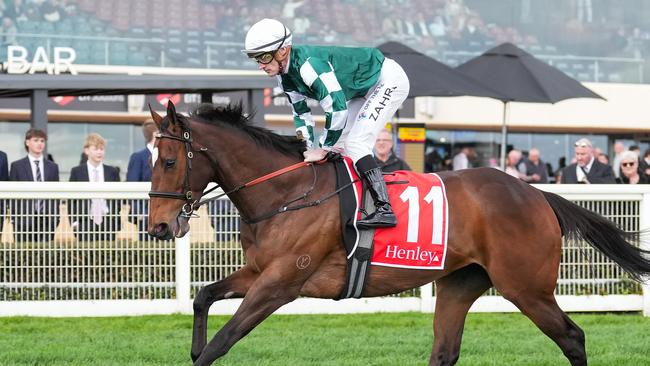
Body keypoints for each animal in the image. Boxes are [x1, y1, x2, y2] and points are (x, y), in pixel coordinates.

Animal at [147, 101, 648, 366]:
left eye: (169, 160)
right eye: (153, 158)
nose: (158, 226)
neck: (287, 192)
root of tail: (536, 193)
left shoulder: (281, 283)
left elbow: (223, 341)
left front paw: (203, 350)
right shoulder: (259, 271)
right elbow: (203, 297)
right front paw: (192, 346)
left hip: (526, 287)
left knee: (573, 337)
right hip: (461, 283)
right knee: (444, 351)